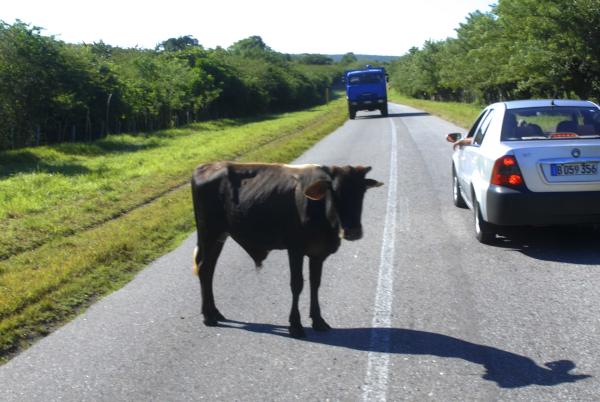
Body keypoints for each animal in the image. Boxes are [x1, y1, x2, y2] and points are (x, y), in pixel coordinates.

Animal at [190, 160, 382, 336]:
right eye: (334, 192)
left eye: (362, 191)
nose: (353, 231)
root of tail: (206, 166)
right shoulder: (295, 249)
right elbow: (297, 284)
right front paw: (295, 325)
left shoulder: (318, 254)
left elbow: (315, 284)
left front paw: (318, 320)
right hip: (209, 233)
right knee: (204, 268)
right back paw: (208, 316)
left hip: (219, 237)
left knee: (209, 270)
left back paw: (214, 312)